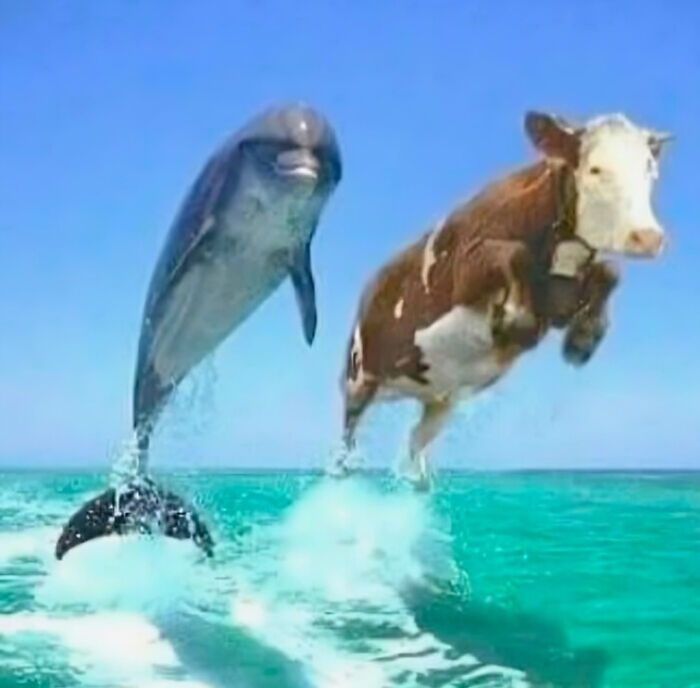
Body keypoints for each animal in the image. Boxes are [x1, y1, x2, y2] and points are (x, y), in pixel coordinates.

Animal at [338, 111, 671, 489]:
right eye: (595, 169)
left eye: (650, 169)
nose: (648, 237)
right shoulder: (464, 268)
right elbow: (515, 254)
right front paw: (515, 321)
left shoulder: (560, 299)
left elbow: (610, 271)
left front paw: (583, 340)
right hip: (358, 377)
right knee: (347, 434)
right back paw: (341, 472)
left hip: (440, 399)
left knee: (416, 439)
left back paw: (419, 482)